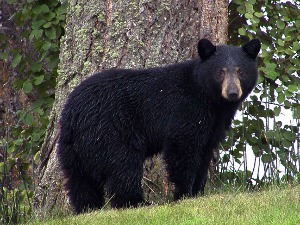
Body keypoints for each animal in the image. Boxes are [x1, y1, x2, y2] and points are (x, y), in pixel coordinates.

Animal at [58, 38, 260, 213]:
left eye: (240, 71)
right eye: (221, 72)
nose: (232, 93)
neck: (210, 99)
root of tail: (73, 113)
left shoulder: (214, 124)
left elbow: (204, 153)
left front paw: (198, 192)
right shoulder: (186, 110)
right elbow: (182, 149)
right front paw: (183, 194)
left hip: (72, 147)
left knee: (79, 179)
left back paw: (88, 208)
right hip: (110, 131)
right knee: (123, 166)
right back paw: (137, 202)